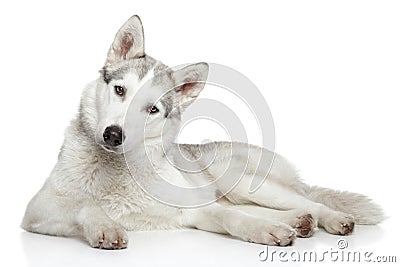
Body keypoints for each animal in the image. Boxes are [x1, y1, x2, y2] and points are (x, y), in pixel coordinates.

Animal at [21, 15, 384, 249]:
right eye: (120, 90)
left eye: (152, 109)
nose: (113, 135)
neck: (122, 172)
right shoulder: (36, 210)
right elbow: (84, 205)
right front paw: (106, 226)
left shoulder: (196, 210)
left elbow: (233, 219)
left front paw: (264, 231)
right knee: (275, 207)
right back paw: (299, 221)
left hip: (241, 181)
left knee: (304, 201)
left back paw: (331, 219)